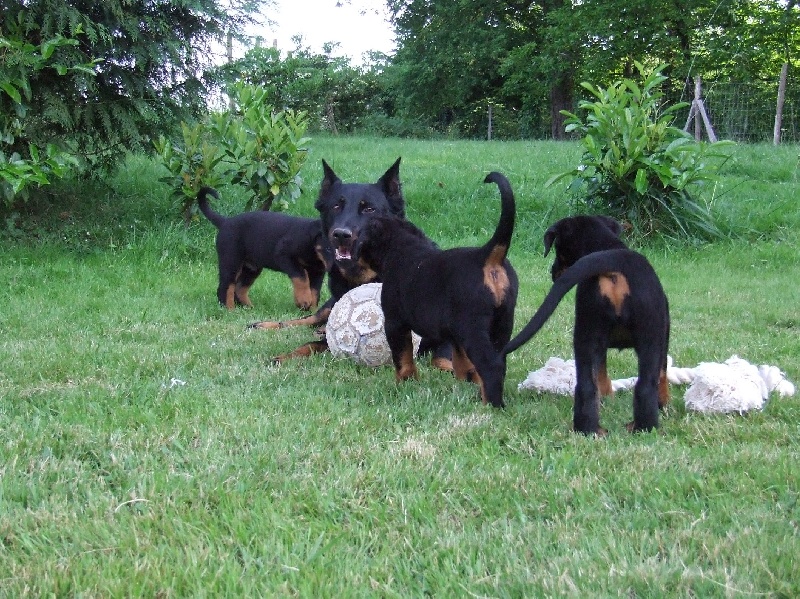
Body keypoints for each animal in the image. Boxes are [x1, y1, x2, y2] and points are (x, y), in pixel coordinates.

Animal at [197, 186, 328, 310]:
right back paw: (229, 309)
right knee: (226, 287)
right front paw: (304, 300)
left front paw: (312, 310)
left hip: (251, 268)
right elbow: (301, 276)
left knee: (239, 288)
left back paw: (247, 308)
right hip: (231, 261)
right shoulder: (284, 255)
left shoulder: (318, 272)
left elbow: (315, 291)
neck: (313, 249)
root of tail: (225, 222)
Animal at [352, 171, 520, 410]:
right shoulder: (455, 334)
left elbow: (402, 357)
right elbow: (462, 361)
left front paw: (405, 382)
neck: (401, 247)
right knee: (499, 360)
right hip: (502, 323)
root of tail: (488, 255)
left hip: (473, 326)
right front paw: (465, 380)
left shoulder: (395, 322)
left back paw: (492, 405)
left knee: (491, 365)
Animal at [506, 216, 668, 436]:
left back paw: (593, 430)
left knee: (589, 386)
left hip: (589, 332)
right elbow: (663, 374)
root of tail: (612, 261)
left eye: (559, 252)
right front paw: (664, 403)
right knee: (645, 386)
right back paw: (643, 427)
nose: (552, 272)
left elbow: (602, 376)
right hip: (646, 338)